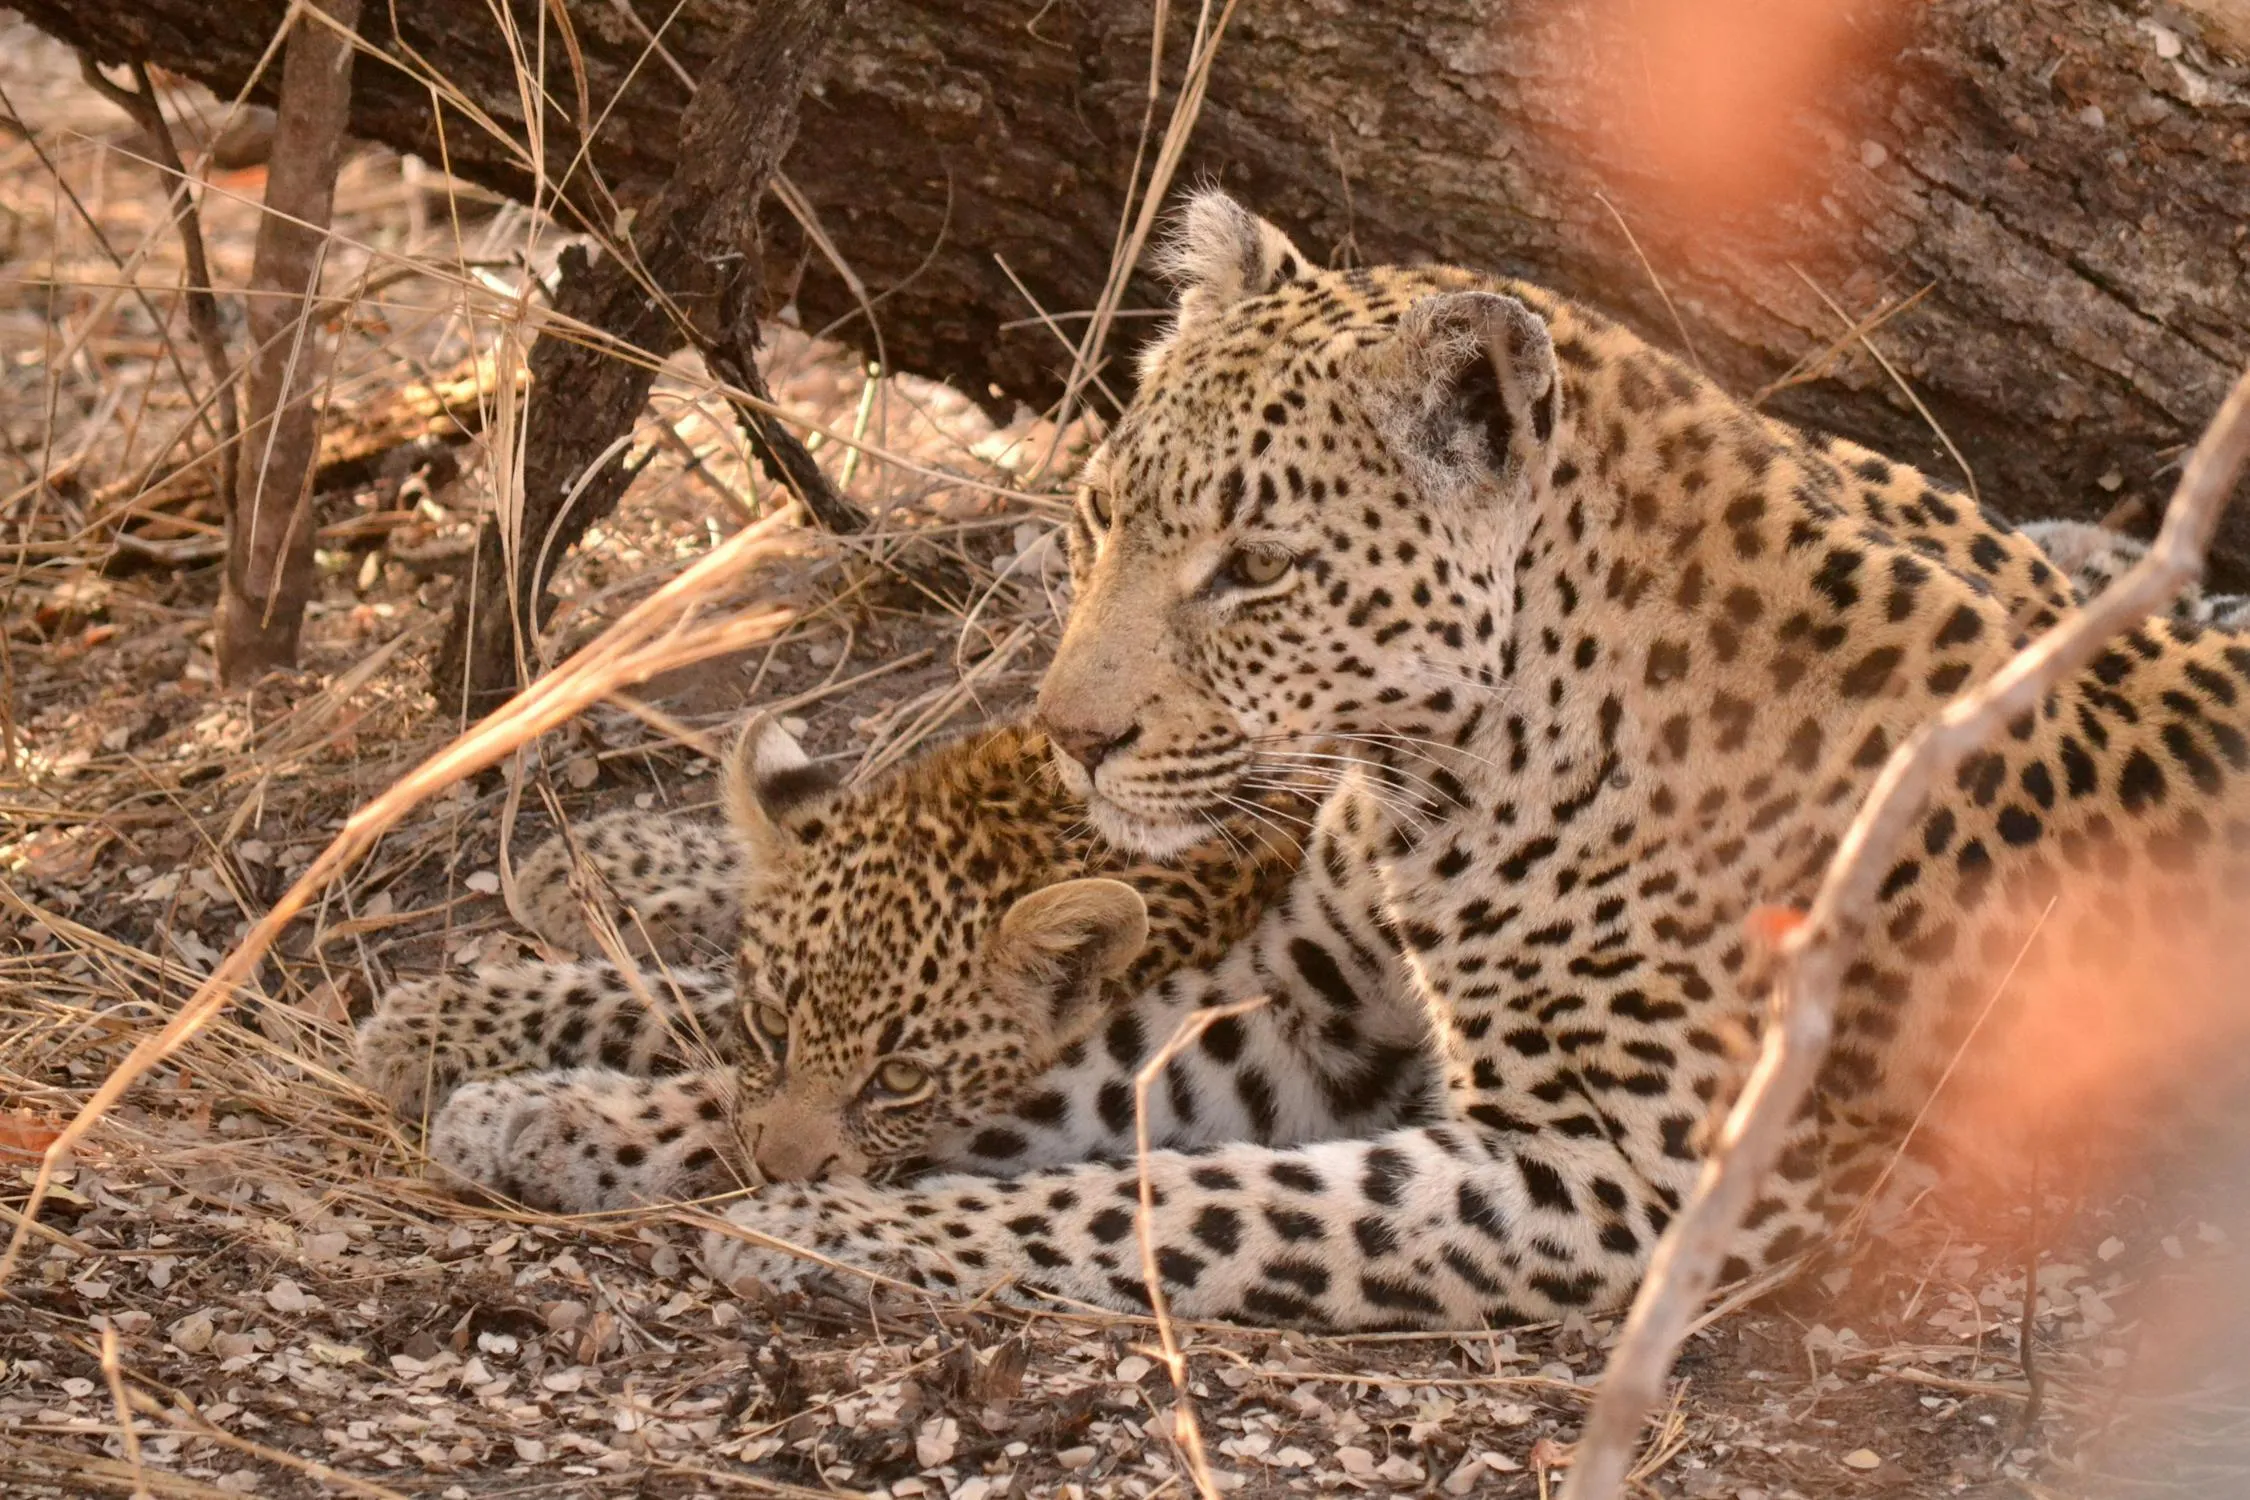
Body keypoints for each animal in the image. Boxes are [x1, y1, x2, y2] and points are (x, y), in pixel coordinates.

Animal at [356, 715, 1436, 1213]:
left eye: (903, 1078)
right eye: (773, 1028)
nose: (778, 1173)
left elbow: (684, 1026)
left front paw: (483, 1074)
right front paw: (614, 869)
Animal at [691, 190, 2250, 1332]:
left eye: (1256, 568)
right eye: (1097, 512)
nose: (1072, 740)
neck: (1443, 784)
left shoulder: (1618, 1183)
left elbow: (1185, 1201)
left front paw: (815, 1229)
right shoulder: (1308, 1003)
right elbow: (1070, 1089)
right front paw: (686, 1137)